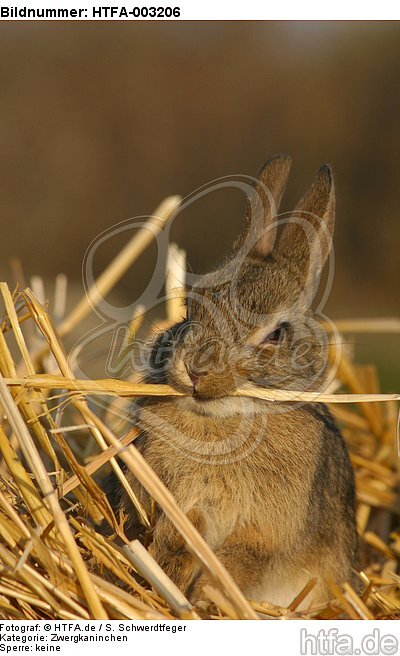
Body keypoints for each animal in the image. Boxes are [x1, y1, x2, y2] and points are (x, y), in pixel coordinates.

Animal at [119, 155, 360, 608]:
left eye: (276, 335)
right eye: (191, 308)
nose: (196, 369)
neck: (223, 421)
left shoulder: (263, 535)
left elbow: (238, 562)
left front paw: (206, 599)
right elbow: (180, 537)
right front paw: (171, 580)